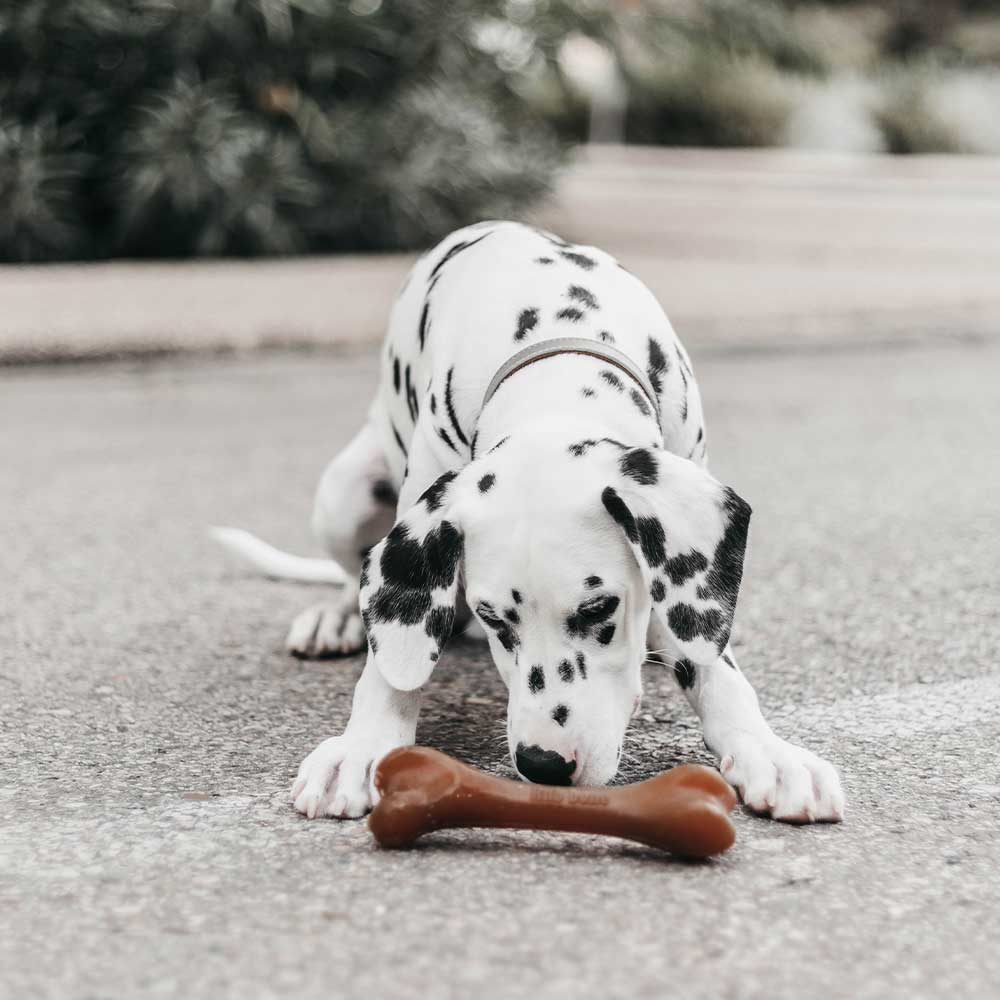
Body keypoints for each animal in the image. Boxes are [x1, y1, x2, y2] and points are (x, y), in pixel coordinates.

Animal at [217, 223, 844, 824]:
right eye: (495, 617)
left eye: (600, 608)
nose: (544, 764)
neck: (554, 365)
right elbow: (392, 662)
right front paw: (364, 745)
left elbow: (715, 664)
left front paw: (768, 750)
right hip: (345, 493)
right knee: (355, 577)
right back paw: (338, 616)